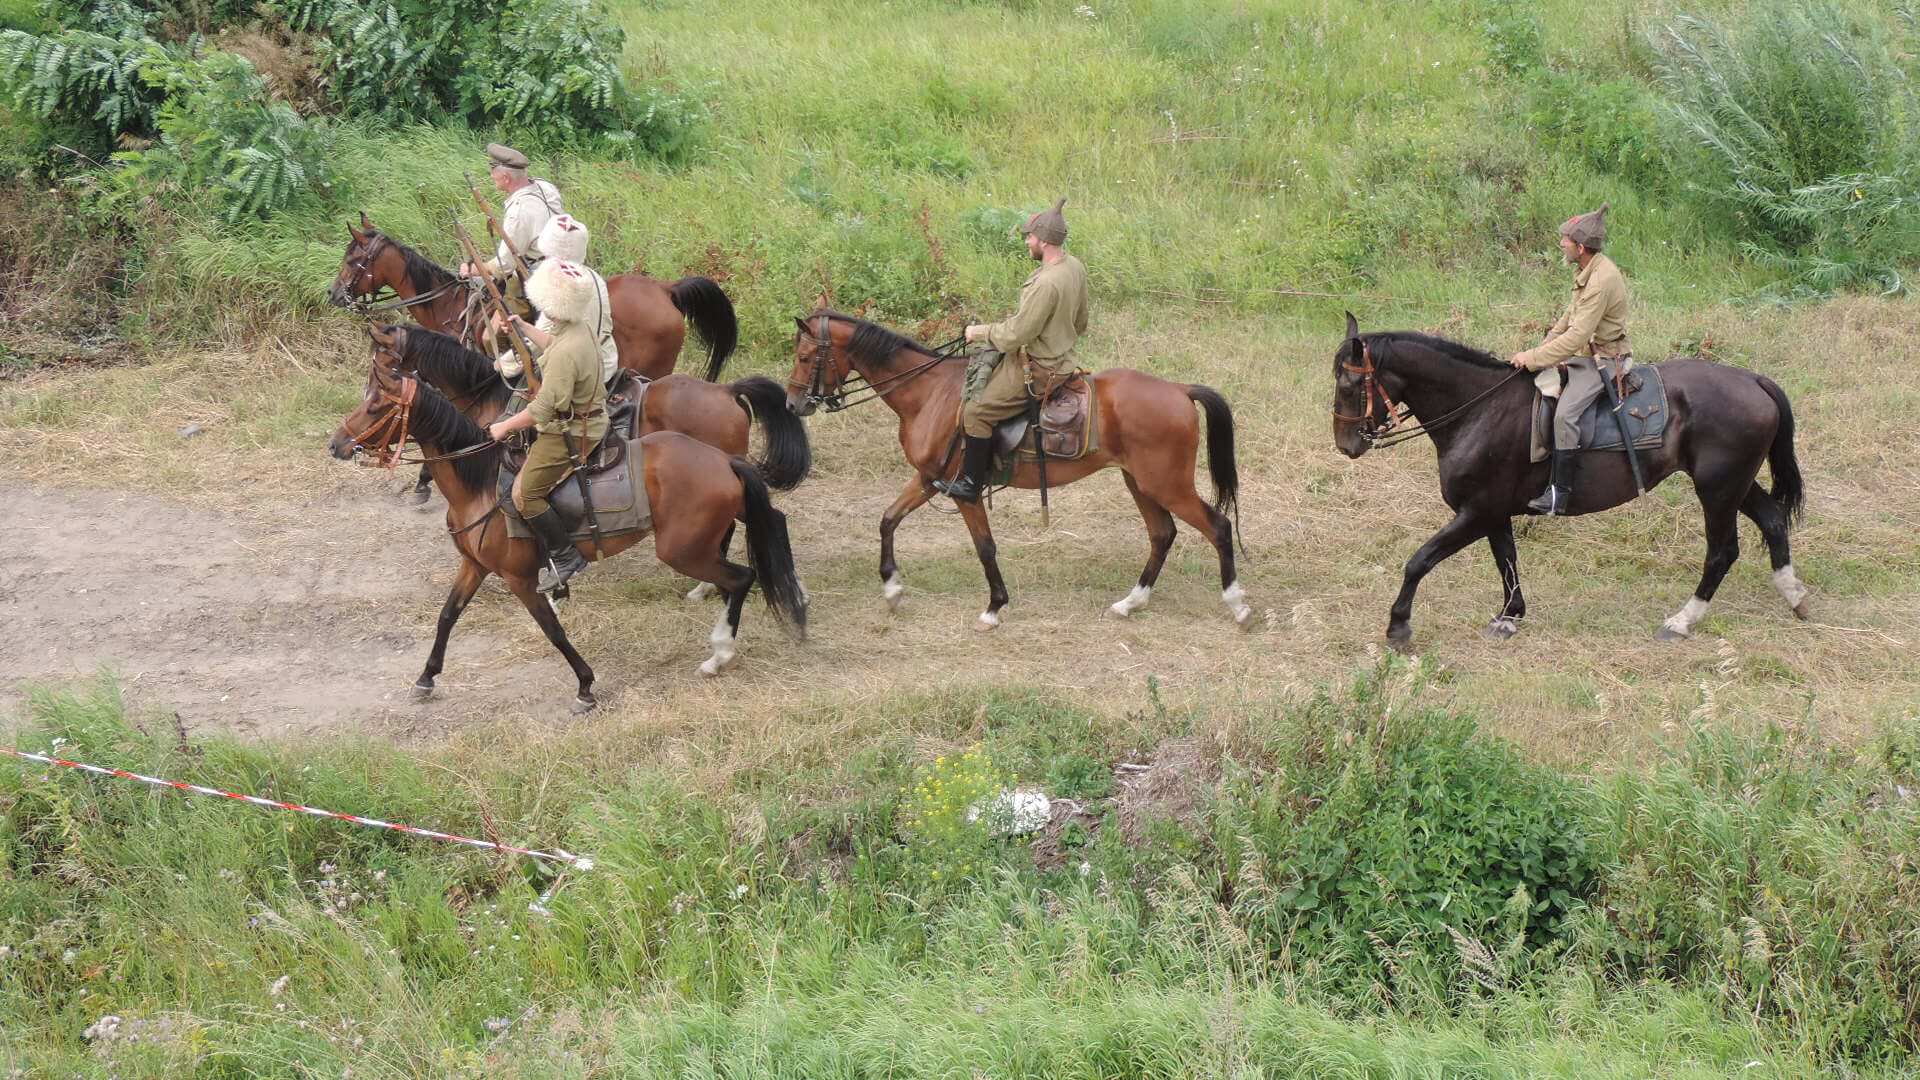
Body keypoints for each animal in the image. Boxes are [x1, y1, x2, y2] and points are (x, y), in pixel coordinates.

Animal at [326, 357, 807, 713]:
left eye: (375, 407)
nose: (336, 444)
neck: (480, 485)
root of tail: (722, 461)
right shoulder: (474, 565)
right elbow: (447, 616)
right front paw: (426, 677)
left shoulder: (520, 579)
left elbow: (553, 630)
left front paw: (585, 686)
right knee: (761, 540)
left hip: (683, 550)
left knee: (742, 577)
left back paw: (720, 652)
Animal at [784, 311, 1249, 630]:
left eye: (805, 356)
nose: (793, 404)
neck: (929, 393)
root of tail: (1179, 390)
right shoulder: (927, 479)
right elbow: (888, 519)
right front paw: (892, 588)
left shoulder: (964, 492)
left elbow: (985, 547)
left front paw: (994, 607)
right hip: (1140, 482)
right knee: (1162, 534)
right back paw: (1130, 602)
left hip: (1166, 484)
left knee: (1217, 526)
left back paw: (1237, 603)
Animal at [1331, 313, 1809, 649]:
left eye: (1350, 385)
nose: (1345, 445)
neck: (1479, 409)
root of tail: (1753, 380)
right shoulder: (1494, 513)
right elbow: (1507, 561)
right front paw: (1509, 616)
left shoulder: (1476, 512)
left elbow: (1420, 561)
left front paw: (1398, 625)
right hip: (1734, 484)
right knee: (1771, 520)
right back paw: (1795, 595)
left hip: (1717, 489)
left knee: (1722, 551)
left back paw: (1681, 621)